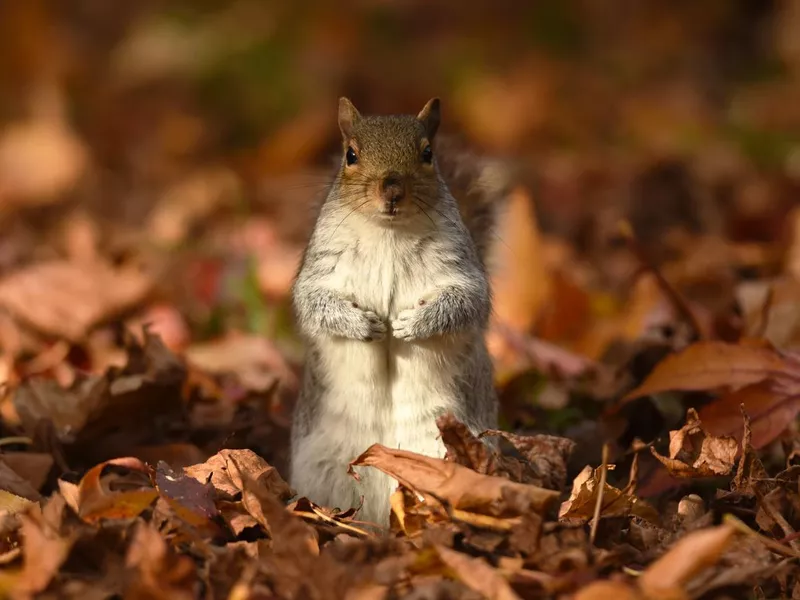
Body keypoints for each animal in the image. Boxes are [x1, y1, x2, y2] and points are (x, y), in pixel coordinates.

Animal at [288, 97, 506, 524]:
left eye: (428, 153)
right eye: (350, 155)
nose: (391, 189)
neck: (387, 232)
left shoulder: (460, 266)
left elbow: (467, 302)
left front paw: (414, 324)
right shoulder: (321, 267)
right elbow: (313, 302)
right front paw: (362, 324)